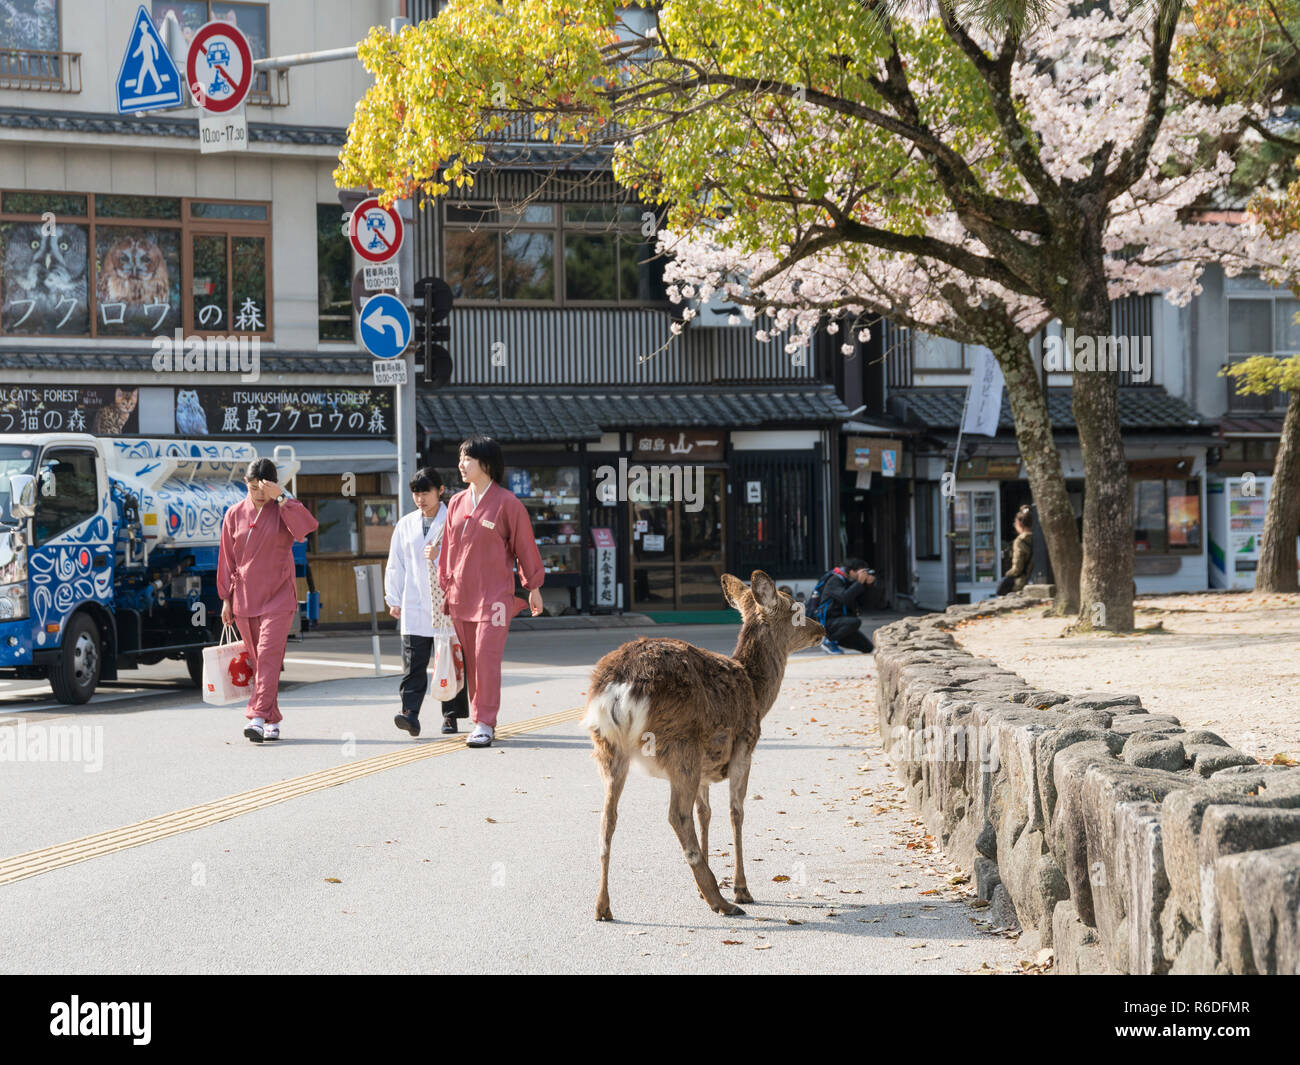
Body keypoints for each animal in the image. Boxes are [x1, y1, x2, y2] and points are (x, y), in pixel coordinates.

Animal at [582, 570, 825, 920]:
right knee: (676, 815)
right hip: (680, 744)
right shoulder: (744, 746)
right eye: (798, 610)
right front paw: (741, 889)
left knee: (608, 818)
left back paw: (603, 906)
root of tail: (620, 685)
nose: (822, 630)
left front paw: (703, 887)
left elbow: (705, 812)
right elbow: (735, 811)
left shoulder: (706, 771)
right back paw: (721, 902)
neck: (755, 690)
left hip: (609, 748)